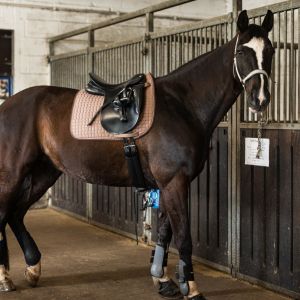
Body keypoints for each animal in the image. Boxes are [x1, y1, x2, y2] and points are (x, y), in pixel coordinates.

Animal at [0, 9, 274, 300]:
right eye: (242, 52)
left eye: (270, 50)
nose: (260, 99)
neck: (182, 105)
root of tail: (7, 105)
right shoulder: (174, 182)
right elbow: (183, 236)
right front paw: (191, 288)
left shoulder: (168, 185)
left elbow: (164, 232)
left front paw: (163, 280)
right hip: (13, 174)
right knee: (4, 214)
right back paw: (6, 277)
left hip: (45, 172)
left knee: (15, 214)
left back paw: (33, 269)